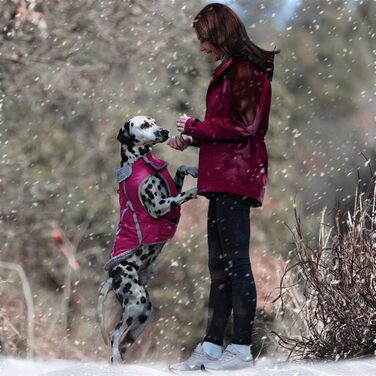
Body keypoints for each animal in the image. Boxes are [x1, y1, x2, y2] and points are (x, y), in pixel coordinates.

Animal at [97, 115, 198, 364]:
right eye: (143, 125)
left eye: (153, 121)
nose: (164, 131)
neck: (138, 161)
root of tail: (112, 277)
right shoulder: (160, 206)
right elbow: (183, 195)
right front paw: (197, 187)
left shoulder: (170, 192)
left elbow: (180, 170)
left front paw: (193, 168)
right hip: (136, 302)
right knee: (114, 335)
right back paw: (116, 360)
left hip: (143, 314)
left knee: (125, 341)